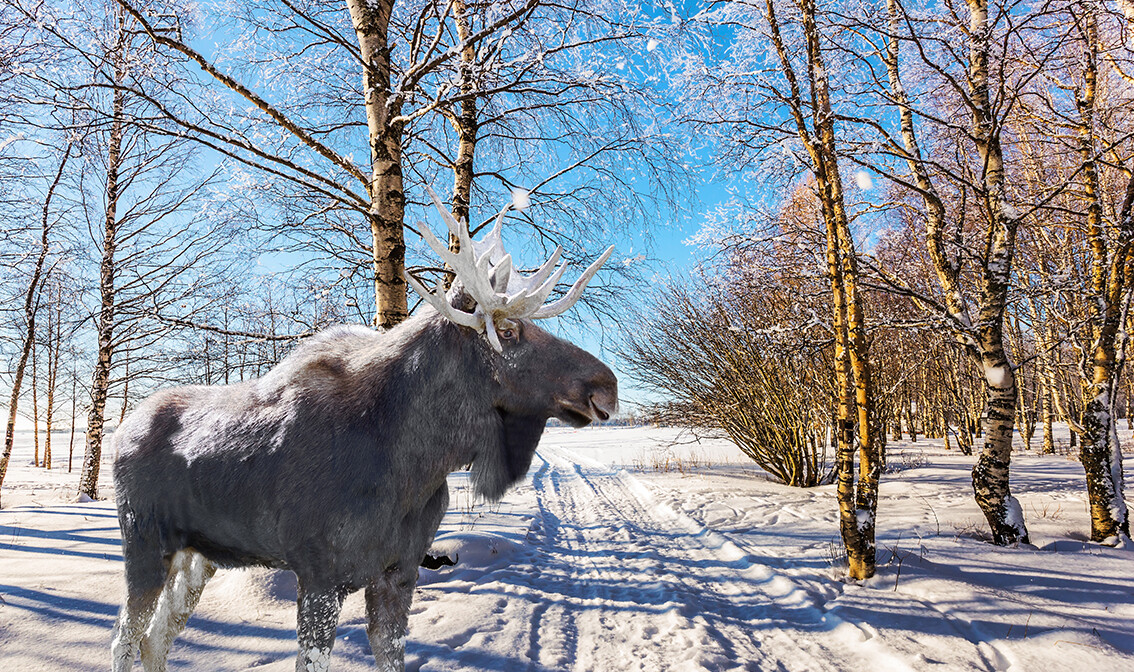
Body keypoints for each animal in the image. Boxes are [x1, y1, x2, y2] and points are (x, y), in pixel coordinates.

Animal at [110, 190, 616, 670]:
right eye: (508, 331)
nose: (606, 386)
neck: (416, 465)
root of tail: (119, 432)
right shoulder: (320, 575)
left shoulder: (400, 571)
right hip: (144, 542)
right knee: (124, 639)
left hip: (198, 557)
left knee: (157, 640)